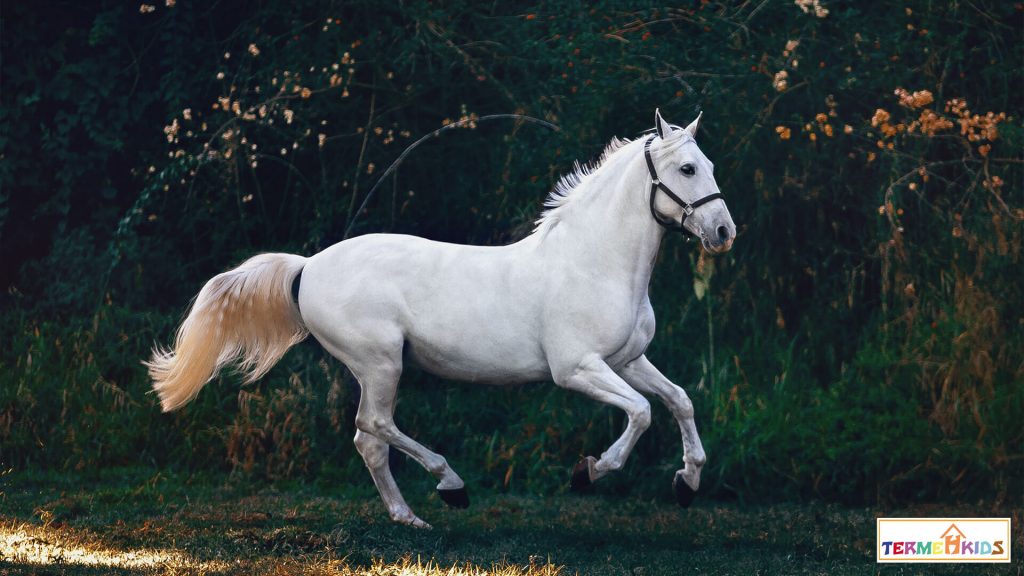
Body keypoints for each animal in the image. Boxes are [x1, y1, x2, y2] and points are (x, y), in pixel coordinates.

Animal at [146, 108, 737, 524]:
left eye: (710, 166)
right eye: (687, 168)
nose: (724, 232)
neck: (594, 262)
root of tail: (308, 266)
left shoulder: (627, 360)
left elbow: (679, 401)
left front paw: (687, 483)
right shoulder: (577, 369)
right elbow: (641, 412)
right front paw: (588, 472)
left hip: (378, 367)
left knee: (368, 440)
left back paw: (409, 517)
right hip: (381, 362)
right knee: (374, 426)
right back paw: (450, 486)